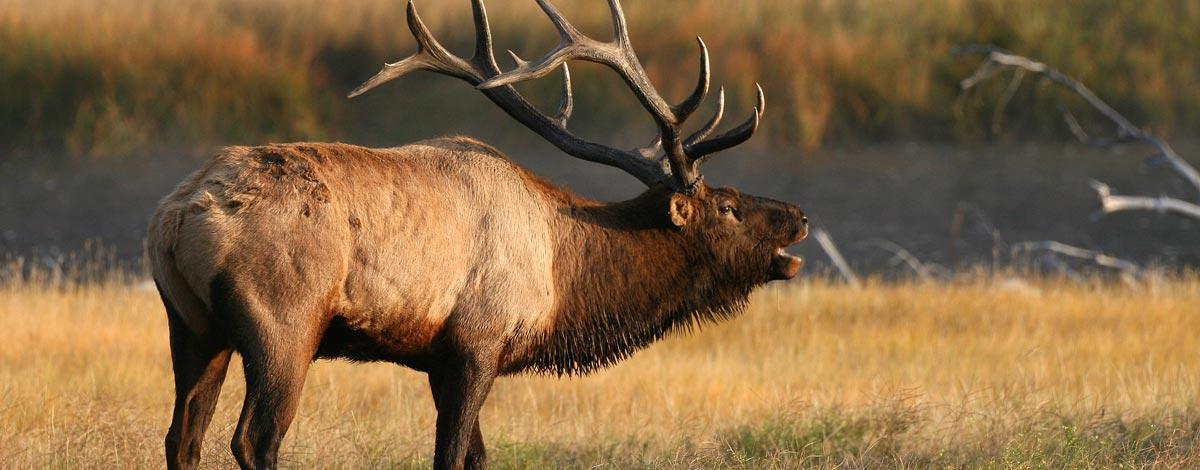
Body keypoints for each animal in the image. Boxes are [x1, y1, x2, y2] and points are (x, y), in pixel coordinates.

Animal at [147, 1, 806, 467]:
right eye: (729, 206)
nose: (799, 215)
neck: (561, 281)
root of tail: (176, 216)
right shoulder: (477, 342)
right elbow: (451, 455)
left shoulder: (440, 358)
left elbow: (477, 457)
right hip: (284, 324)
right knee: (254, 440)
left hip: (192, 326)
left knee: (182, 438)